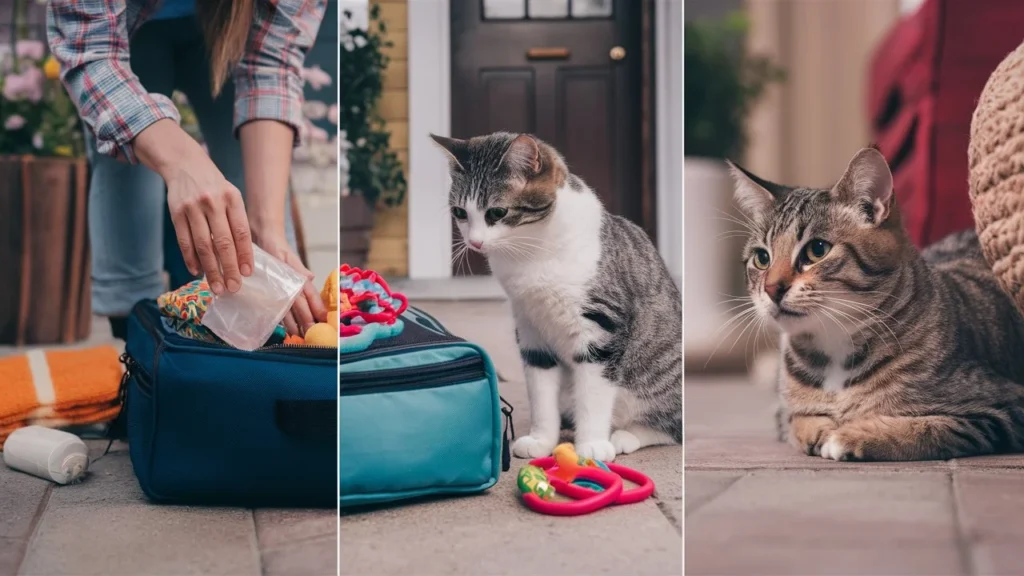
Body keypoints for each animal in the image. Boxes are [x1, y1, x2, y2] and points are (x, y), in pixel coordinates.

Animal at [430, 132, 679, 459]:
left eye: (497, 212)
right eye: (460, 212)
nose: (474, 242)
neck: (531, 253)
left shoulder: (601, 326)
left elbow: (593, 395)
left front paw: (591, 444)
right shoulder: (531, 327)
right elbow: (541, 394)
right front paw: (542, 440)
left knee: (669, 425)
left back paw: (625, 435)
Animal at [729, 145, 1024, 459]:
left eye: (817, 250)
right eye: (762, 258)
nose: (772, 288)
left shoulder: (1003, 406)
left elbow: (929, 427)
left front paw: (851, 435)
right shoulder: (786, 411)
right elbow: (797, 420)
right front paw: (819, 429)